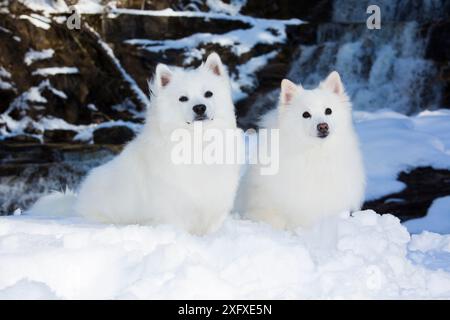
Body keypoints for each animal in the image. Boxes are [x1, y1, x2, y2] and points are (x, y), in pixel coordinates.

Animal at [31, 51, 241, 234]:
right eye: (183, 98)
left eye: (208, 94)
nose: (199, 108)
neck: (196, 140)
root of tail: (76, 203)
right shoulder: (173, 209)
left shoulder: (213, 205)